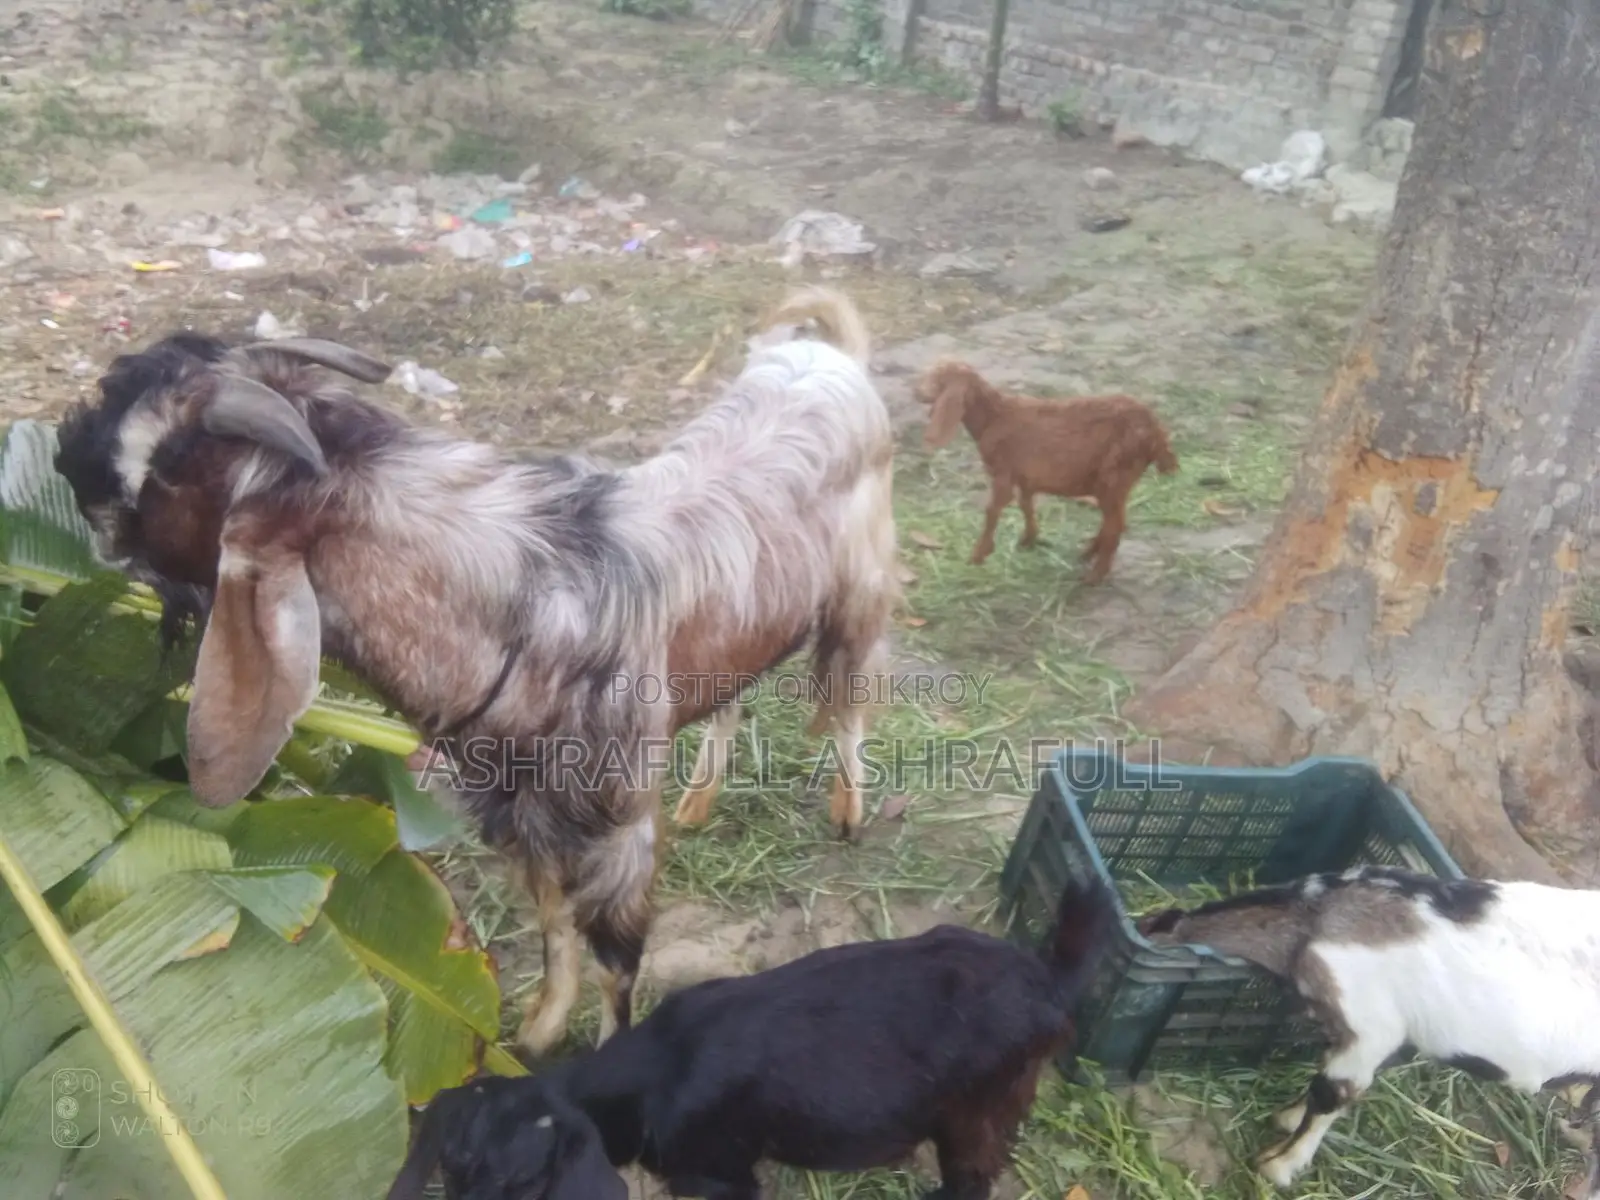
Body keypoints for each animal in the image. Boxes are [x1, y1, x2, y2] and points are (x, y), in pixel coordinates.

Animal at [51, 286, 900, 1058]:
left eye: (159, 470)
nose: (61, 455)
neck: (516, 605)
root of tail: (831, 356)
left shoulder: (615, 831)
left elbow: (613, 964)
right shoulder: (523, 817)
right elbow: (554, 930)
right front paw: (536, 1034)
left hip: (859, 594)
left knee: (851, 704)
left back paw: (849, 812)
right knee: (733, 697)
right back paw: (699, 803)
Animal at [387, 876, 1118, 1200]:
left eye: (524, 1179)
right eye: (454, 1161)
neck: (655, 1073)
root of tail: (1047, 981)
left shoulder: (715, 1173)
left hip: (977, 1112)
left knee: (972, 1181)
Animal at [914, 359, 1176, 582]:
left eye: (936, 380)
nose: (915, 391)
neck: (995, 417)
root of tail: (1157, 435)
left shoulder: (1003, 472)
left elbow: (993, 511)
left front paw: (978, 555)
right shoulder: (1025, 476)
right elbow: (1025, 504)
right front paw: (1028, 539)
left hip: (1116, 474)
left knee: (1115, 525)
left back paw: (1094, 575)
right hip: (1118, 481)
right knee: (1116, 520)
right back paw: (1088, 553)